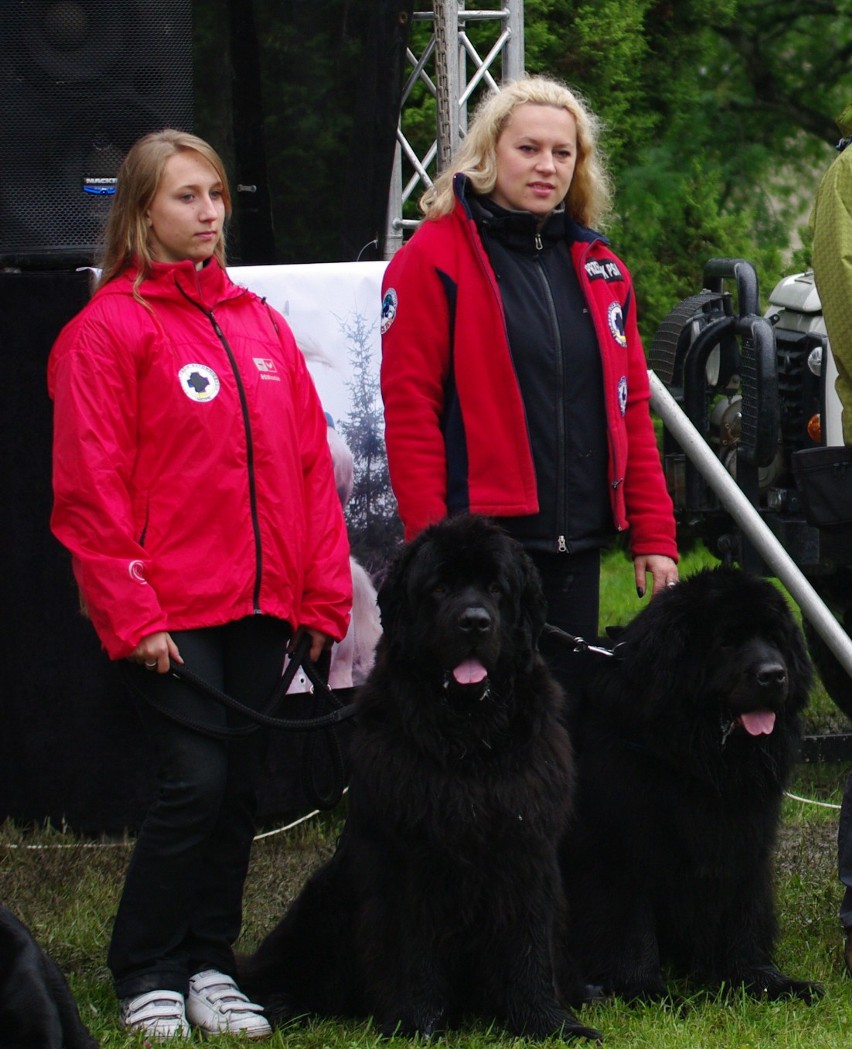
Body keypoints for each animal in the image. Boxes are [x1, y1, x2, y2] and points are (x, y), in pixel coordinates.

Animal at [238, 516, 600, 1040]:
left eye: (496, 588)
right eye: (440, 587)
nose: (475, 621)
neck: (470, 740)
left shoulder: (526, 848)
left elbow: (529, 944)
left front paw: (548, 1022)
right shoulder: (408, 855)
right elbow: (411, 946)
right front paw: (417, 1023)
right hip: (322, 900)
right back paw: (281, 1004)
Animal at [562, 570, 822, 1002]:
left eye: (775, 638)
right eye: (727, 641)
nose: (773, 674)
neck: (699, 759)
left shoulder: (744, 836)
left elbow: (744, 911)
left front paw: (762, 979)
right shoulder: (618, 844)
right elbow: (629, 923)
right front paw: (648, 992)